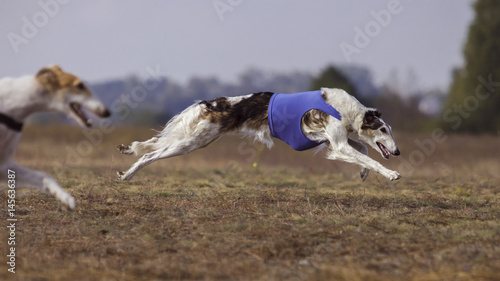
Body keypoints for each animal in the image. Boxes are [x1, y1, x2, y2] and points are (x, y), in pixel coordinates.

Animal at [116, 87, 398, 182]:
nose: (397, 151)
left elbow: (364, 150)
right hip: (191, 142)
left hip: (196, 139)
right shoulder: (337, 145)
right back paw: (127, 174)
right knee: (150, 155)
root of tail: (209, 103)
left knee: (152, 146)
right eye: (383, 129)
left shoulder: (336, 141)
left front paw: (363, 173)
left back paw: (127, 153)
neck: (345, 109)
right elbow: (370, 156)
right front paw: (392, 174)